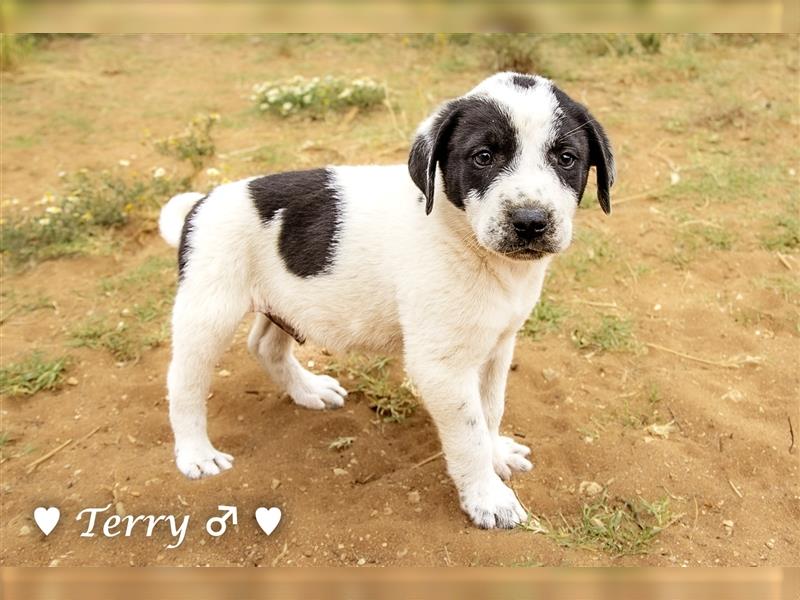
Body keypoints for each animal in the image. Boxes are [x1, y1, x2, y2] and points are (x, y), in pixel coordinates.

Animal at [159, 71, 616, 528]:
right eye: (483, 157)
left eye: (567, 158)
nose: (530, 221)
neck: (466, 240)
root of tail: (199, 204)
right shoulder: (441, 367)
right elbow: (469, 434)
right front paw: (487, 497)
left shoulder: (497, 347)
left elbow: (490, 411)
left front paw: (498, 454)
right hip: (208, 311)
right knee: (184, 381)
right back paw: (196, 454)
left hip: (283, 304)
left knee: (265, 346)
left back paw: (308, 390)